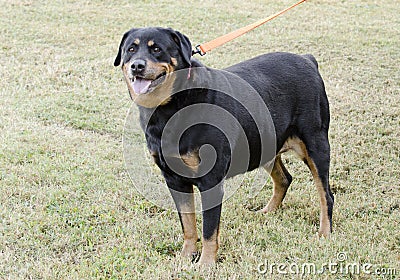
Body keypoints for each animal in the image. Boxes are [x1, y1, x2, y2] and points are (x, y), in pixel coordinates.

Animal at [114, 27, 332, 266]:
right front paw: (187, 256)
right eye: (130, 50)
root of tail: (308, 60)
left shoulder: (210, 180)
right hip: (264, 143)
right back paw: (267, 211)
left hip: (315, 144)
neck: (171, 106)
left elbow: (209, 230)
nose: (137, 65)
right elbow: (188, 224)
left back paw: (325, 233)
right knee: (284, 178)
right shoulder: (174, 179)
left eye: (157, 49)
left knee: (326, 195)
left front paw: (206, 264)